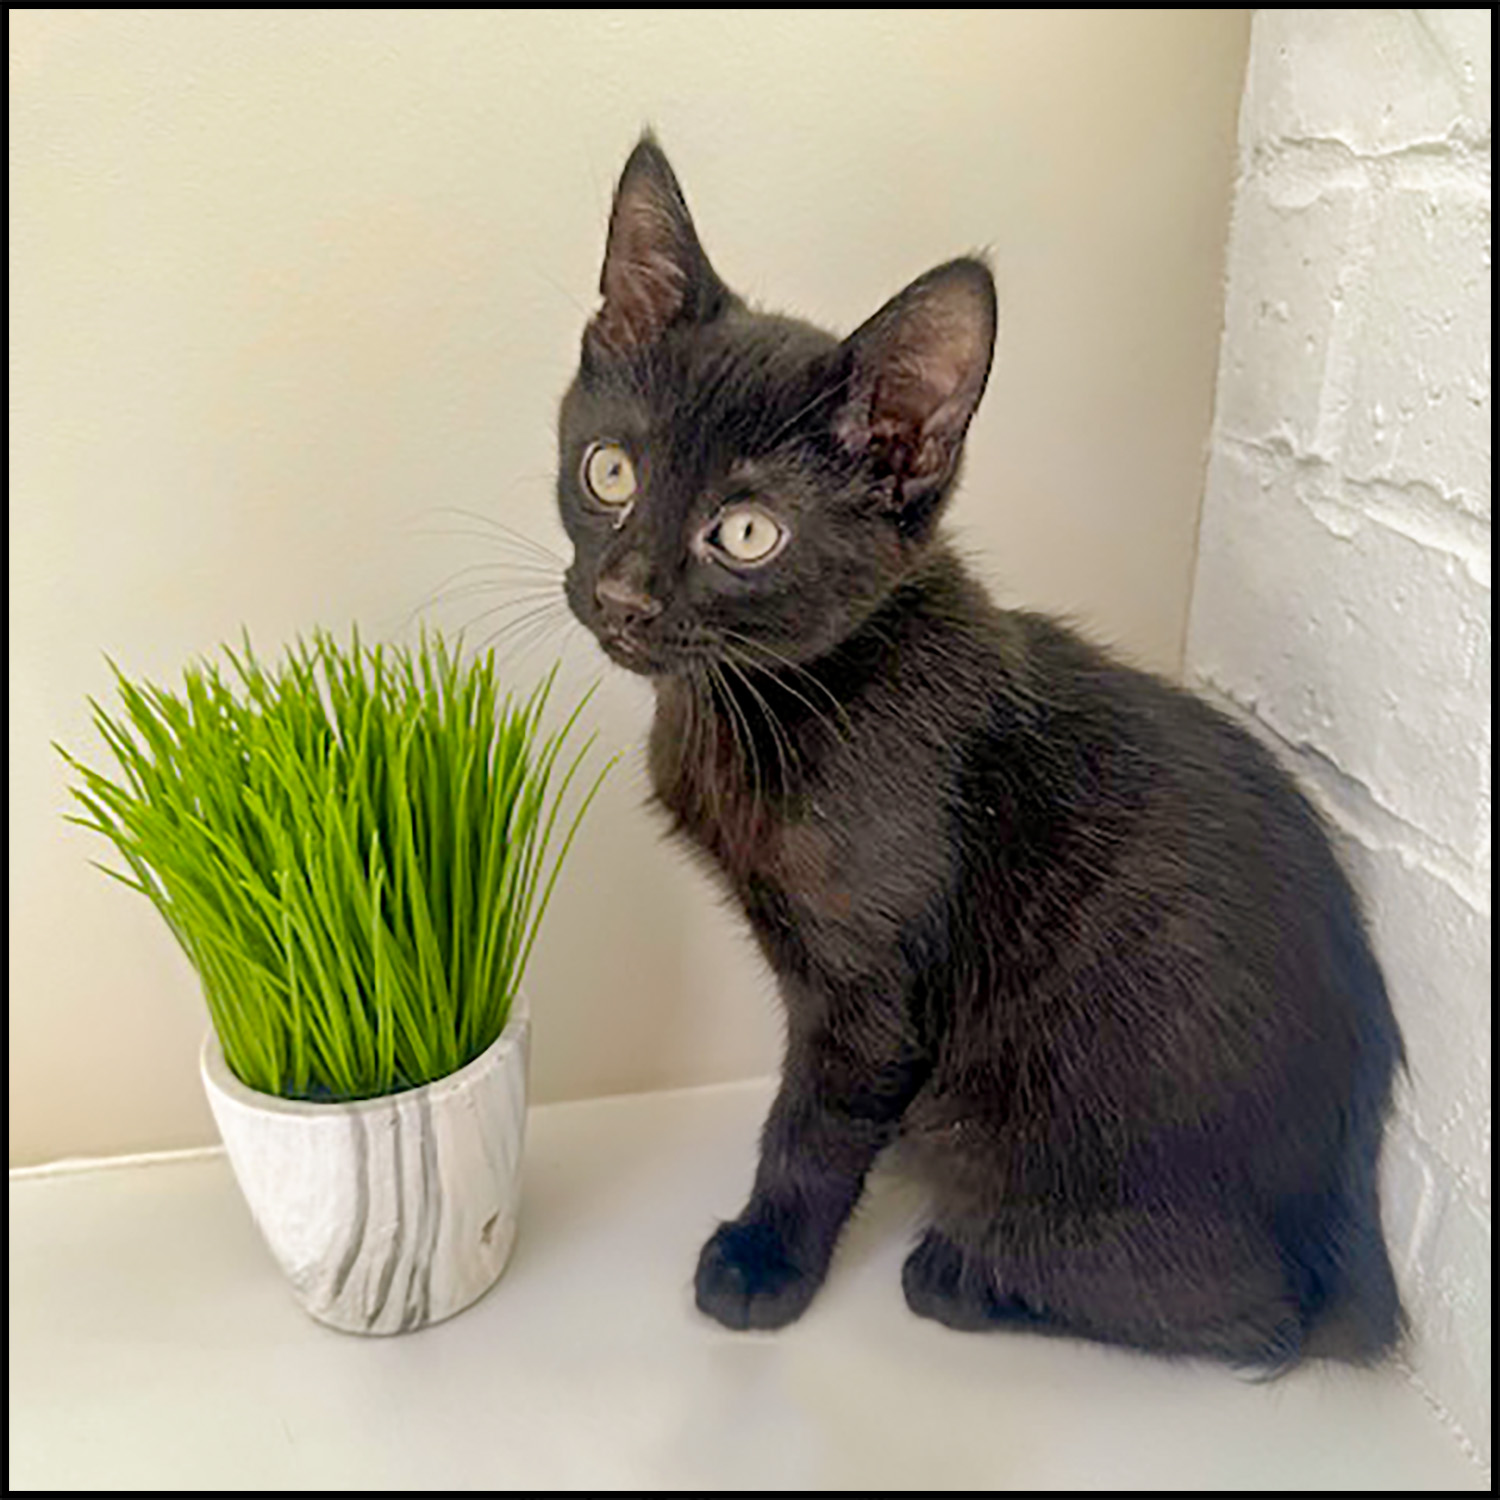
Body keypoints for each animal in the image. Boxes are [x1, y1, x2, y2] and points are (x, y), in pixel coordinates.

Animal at [553, 131, 1406, 1368]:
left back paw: (965, 1275)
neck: (779, 696)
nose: (620, 594)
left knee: (1260, 1320)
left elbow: (813, 1128)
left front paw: (764, 1265)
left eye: (746, 533)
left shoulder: (871, 991)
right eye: (609, 471)